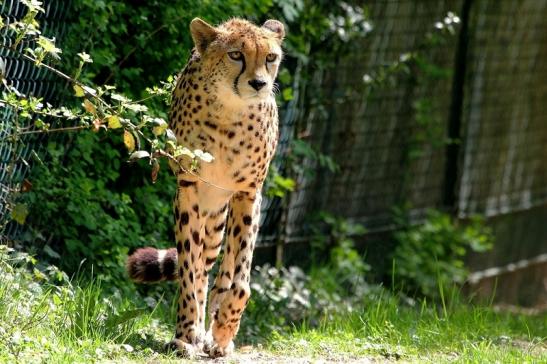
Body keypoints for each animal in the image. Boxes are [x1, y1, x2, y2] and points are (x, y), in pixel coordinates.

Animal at [126, 18, 284, 356]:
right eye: (236, 54)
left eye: (270, 57)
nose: (259, 84)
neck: (229, 111)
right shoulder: (188, 188)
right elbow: (190, 269)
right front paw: (186, 333)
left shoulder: (249, 193)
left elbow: (240, 276)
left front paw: (223, 331)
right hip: (210, 214)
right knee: (202, 265)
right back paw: (198, 328)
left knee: (225, 269)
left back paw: (217, 332)